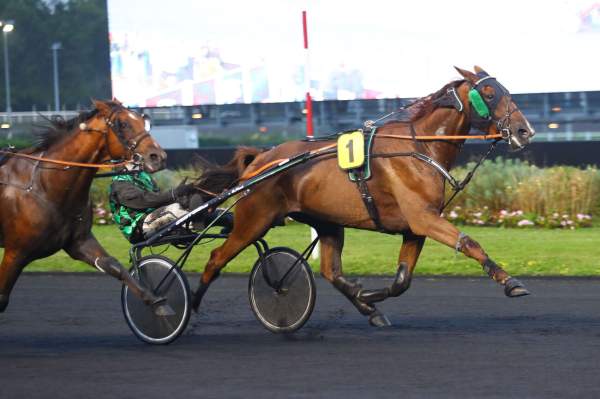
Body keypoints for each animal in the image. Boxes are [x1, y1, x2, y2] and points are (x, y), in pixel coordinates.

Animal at [0, 99, 171, 316]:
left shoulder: (79, 241)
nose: (158, 156)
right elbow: (2, 298)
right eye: (123, 124)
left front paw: (157, 302)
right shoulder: (16, 251)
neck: (44, 184)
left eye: (143, 121)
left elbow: (112, 265)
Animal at [195, 66, 536, 328]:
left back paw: (367, 309)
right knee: (215, 259)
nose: (525, 131)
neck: (420, 147)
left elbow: (402, 280)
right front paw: (510, 282)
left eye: (506, 90)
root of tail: (259, 160)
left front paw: (369, 296)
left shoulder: (415, 226)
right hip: (254, 220)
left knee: (331, 272)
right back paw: (189, 308)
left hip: (327, 222)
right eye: (489, 94)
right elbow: (468, 242)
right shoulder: (423, 218)